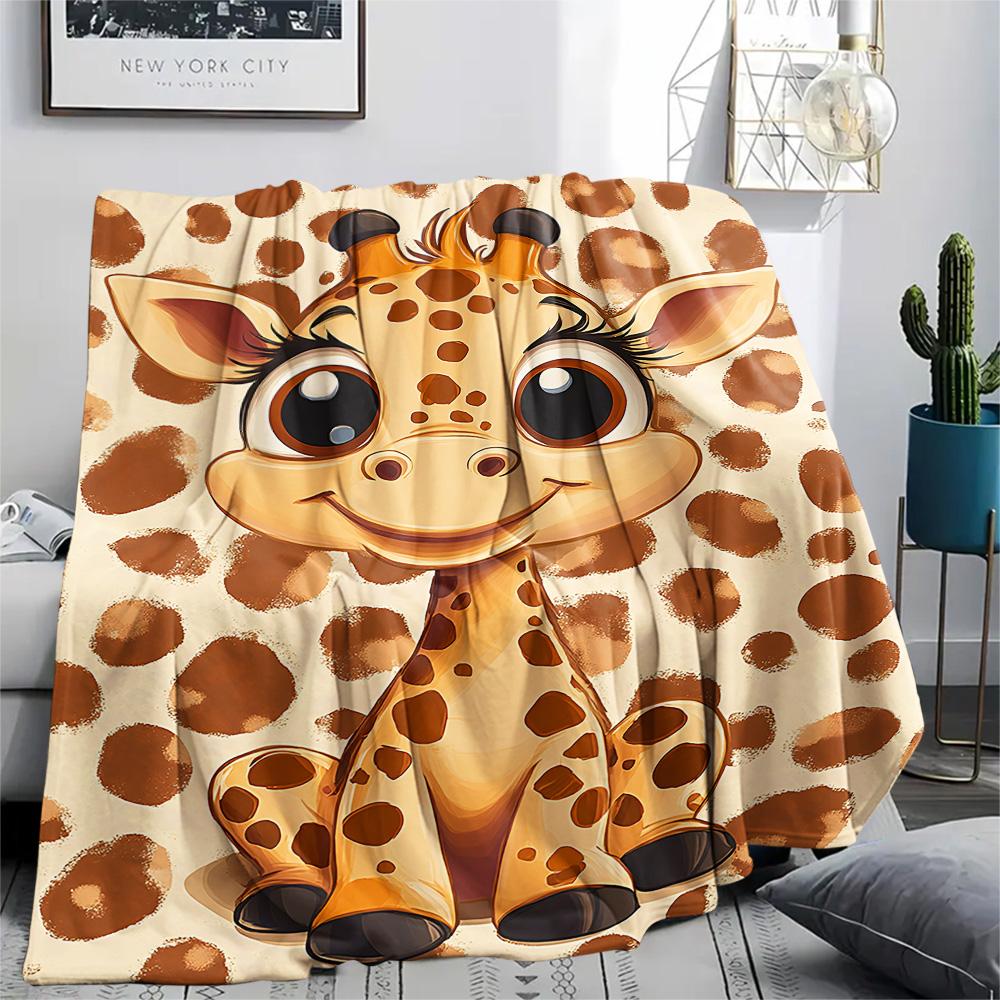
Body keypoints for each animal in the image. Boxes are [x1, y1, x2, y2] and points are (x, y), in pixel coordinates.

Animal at [106, 202, 778, 963]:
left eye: (570, 393)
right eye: (318, 406)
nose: (443, 471)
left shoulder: (573, 749)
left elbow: (566, 814)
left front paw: (570, 902)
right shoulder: (385, 758)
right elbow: (382, 830)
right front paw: (376, 919)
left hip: (681, 724)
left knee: (674, 746)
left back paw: (674, 852)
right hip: (255, 776)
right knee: (264, 804)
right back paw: (287, 901)